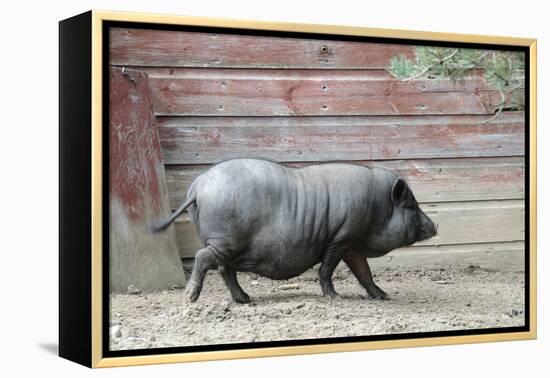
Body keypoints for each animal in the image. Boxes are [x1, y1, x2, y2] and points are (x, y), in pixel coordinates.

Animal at [150, 158, 436, 302]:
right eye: (411, 206)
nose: (435, 225)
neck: (379, 209)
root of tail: (198, 186)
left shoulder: (351, 246)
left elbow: (364, 273)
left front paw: (385, 296)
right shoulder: (341, 239)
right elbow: (326, 270)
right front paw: (336, 298)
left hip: (227, 245)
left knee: (224, 270)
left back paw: (246, 299)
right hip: (225, 241)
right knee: (204, 259)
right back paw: (190, 299)